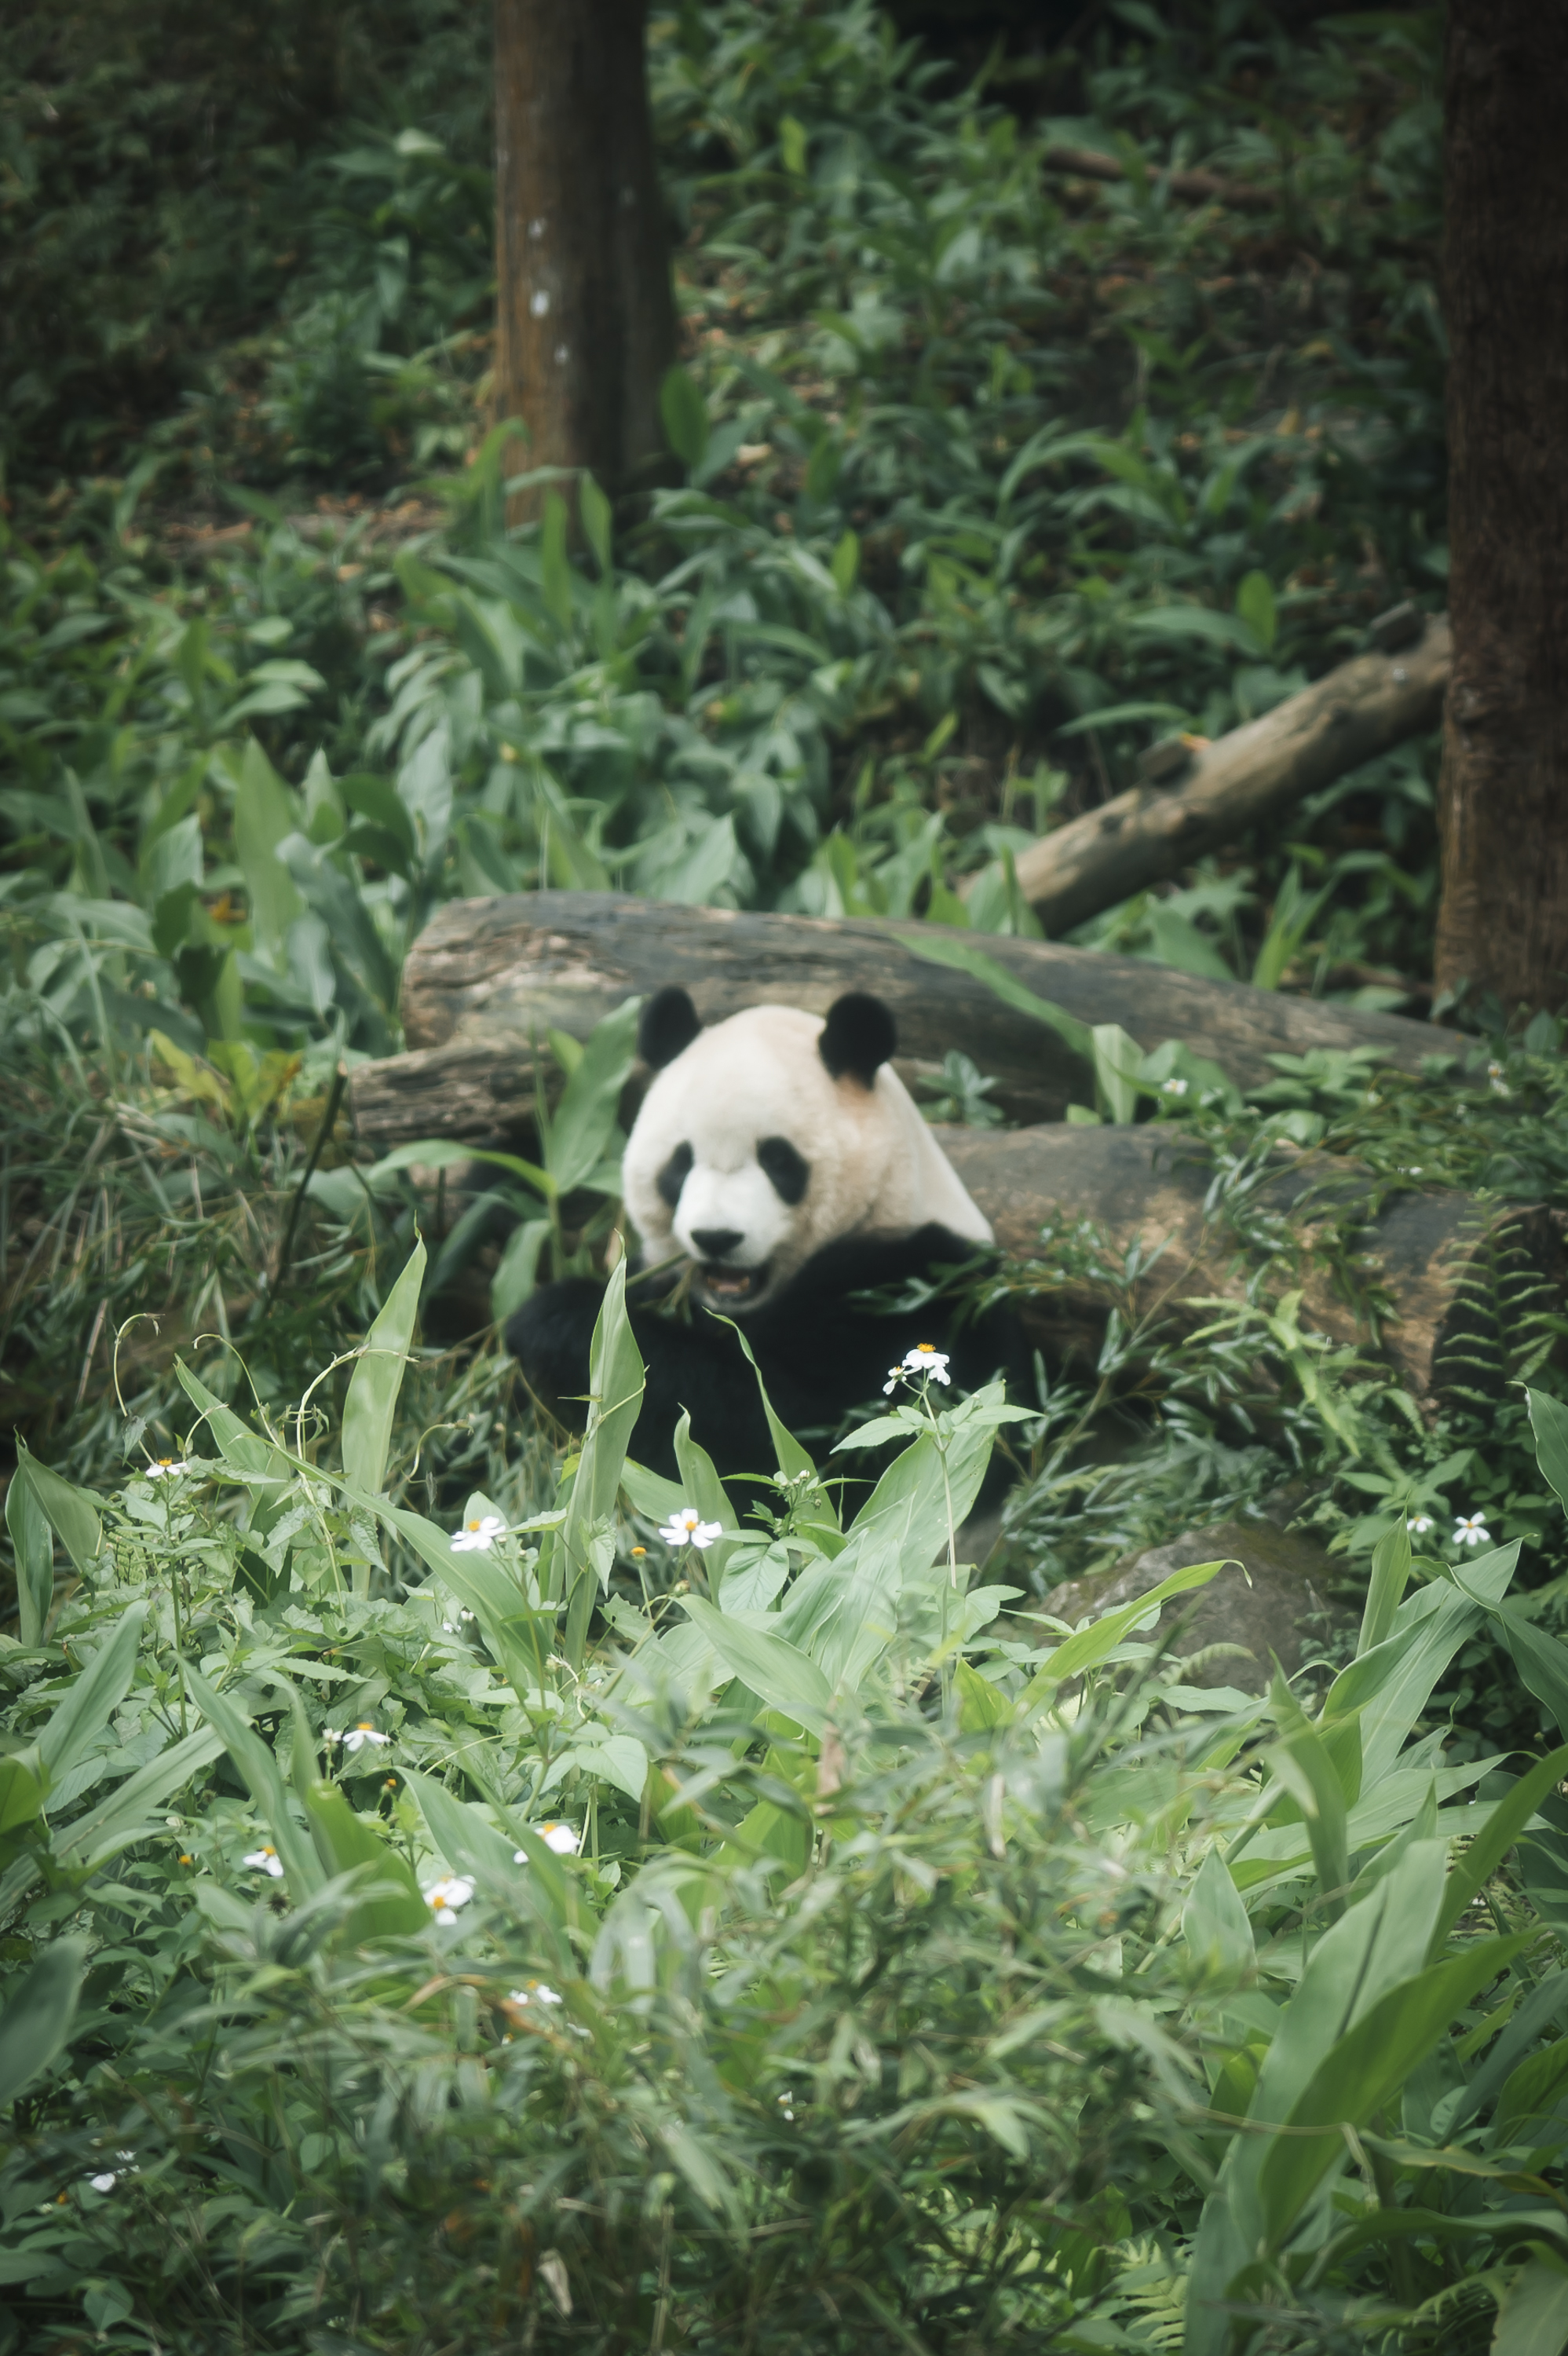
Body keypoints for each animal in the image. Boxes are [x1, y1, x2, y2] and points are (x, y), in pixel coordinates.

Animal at [507, 984, 1022, 1501]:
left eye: (778, 1159)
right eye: (680, 1162)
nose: (716, 1237)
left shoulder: (907, 1287)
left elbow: (801, 1429)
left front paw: (556, 1320)